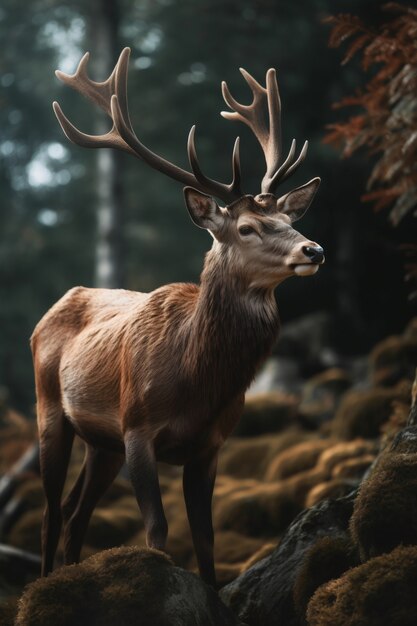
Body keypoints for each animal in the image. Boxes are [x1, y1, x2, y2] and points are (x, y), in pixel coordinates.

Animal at [31, 47, 324, 584]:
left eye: (289, 219)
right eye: (247, 228)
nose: (313, 249)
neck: (195, 379)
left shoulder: (211, 444)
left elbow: (205, 540)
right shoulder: (138, 429)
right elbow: (158, 531)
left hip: (101, 443)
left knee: (76, 515)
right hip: (51, 411)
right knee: (51, 514)